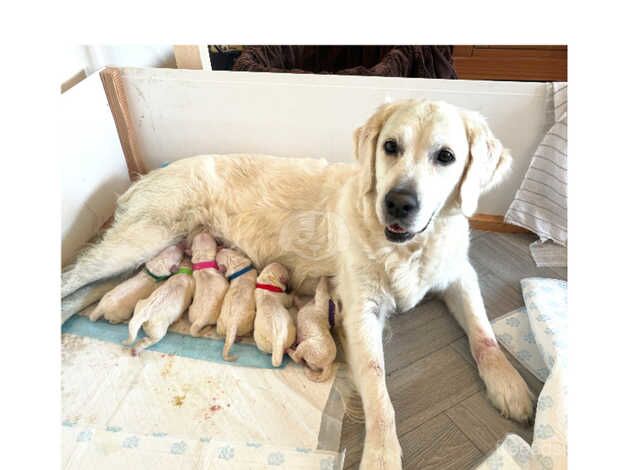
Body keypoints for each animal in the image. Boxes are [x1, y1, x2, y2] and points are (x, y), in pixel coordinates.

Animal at [63, 98, 532, 466]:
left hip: (139, 256)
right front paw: (382, 454)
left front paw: (510, 385)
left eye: (446, 156)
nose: (398, 203)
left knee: (83, 290)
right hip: (137, 242)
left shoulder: (460, 274)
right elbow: (378, 387)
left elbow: (485, 334)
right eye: (390, 147)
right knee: (69, 278)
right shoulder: (359, 312)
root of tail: (147, 175)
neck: (407, 248)